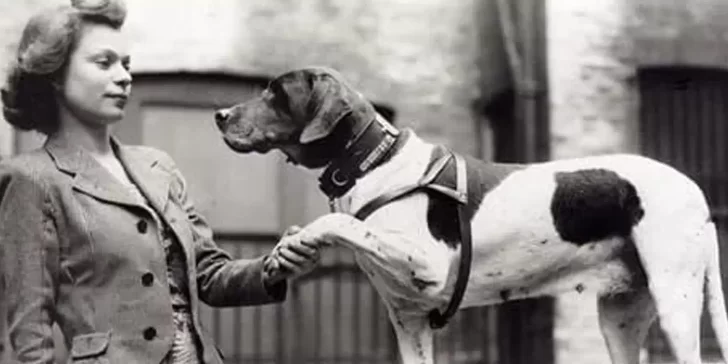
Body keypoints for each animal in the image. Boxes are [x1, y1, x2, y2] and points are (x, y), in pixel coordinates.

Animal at [213, 66, 728, 364]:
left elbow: (343, 223)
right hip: (621, 317)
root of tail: (696, 191)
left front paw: (303, 238)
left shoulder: (427, 263)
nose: (219, 115)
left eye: (276, 92)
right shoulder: (410, 321)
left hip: (676, 301)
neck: (372, 161)